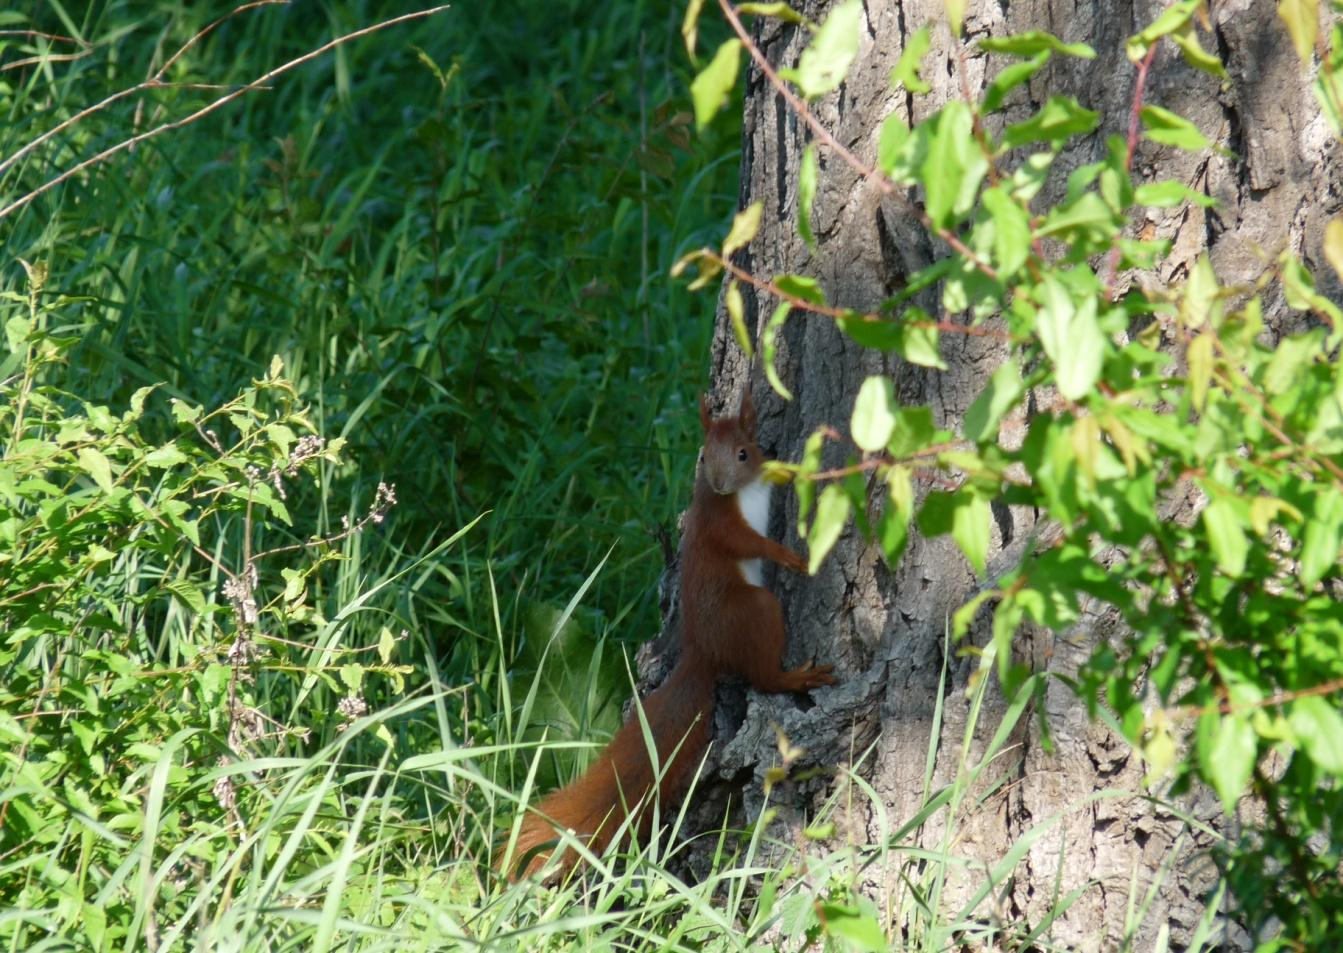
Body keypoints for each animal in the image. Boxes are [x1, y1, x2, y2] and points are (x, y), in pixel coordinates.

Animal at [502, 386, 838, 880]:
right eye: (702, 455)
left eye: (744, 452)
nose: (718, 482)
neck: (739, 492)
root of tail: (703, 653)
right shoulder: (718, 523)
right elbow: (746, 543)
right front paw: (785, 555)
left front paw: (792, 468)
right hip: (754, 610)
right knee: (762, 676)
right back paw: (798, 678)